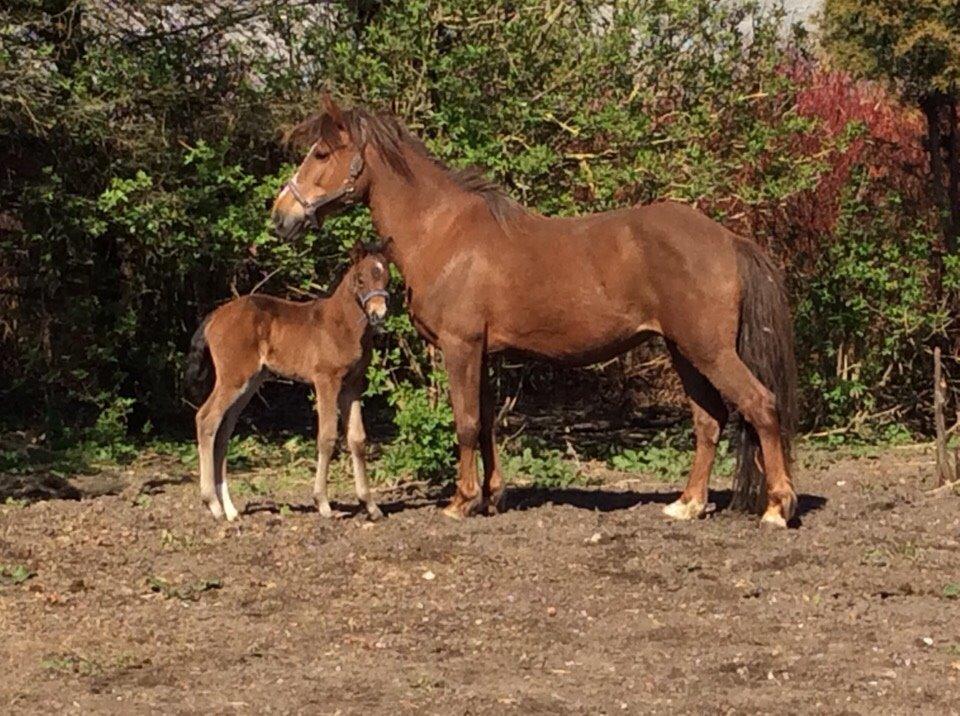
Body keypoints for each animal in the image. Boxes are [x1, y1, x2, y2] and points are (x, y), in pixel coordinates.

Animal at [186, 245, 388, 520]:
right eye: (360, 279)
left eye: (386, 278)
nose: (379, 313)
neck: (341, 324)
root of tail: (214, 317)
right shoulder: (326, 380)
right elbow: (327, 436)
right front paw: (323, 503)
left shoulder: (353, 385)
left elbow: (357, 439)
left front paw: (370, 505)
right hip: (233, 378)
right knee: (206, 419)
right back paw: (213, 505)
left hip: (249, 383)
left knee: (223, 430)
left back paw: (230, 509)